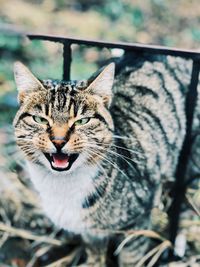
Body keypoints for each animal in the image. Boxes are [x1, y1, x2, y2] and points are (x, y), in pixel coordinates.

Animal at [13, 53, 199, 266]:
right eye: (40, 119)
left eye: (82, 121)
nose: (59, 140)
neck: (61, 185)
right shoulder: (92, 233)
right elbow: (95, 254)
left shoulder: (137, 220)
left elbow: (131, 258)